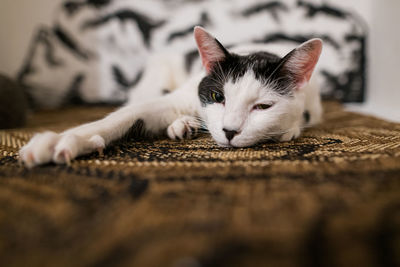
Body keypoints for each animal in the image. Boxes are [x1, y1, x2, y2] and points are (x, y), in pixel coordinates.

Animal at [20, 27, 324, 170]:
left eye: (263, 106)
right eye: (217, 96)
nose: (229, 131)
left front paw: (287, 131)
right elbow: (120, 117)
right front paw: (61, 140)